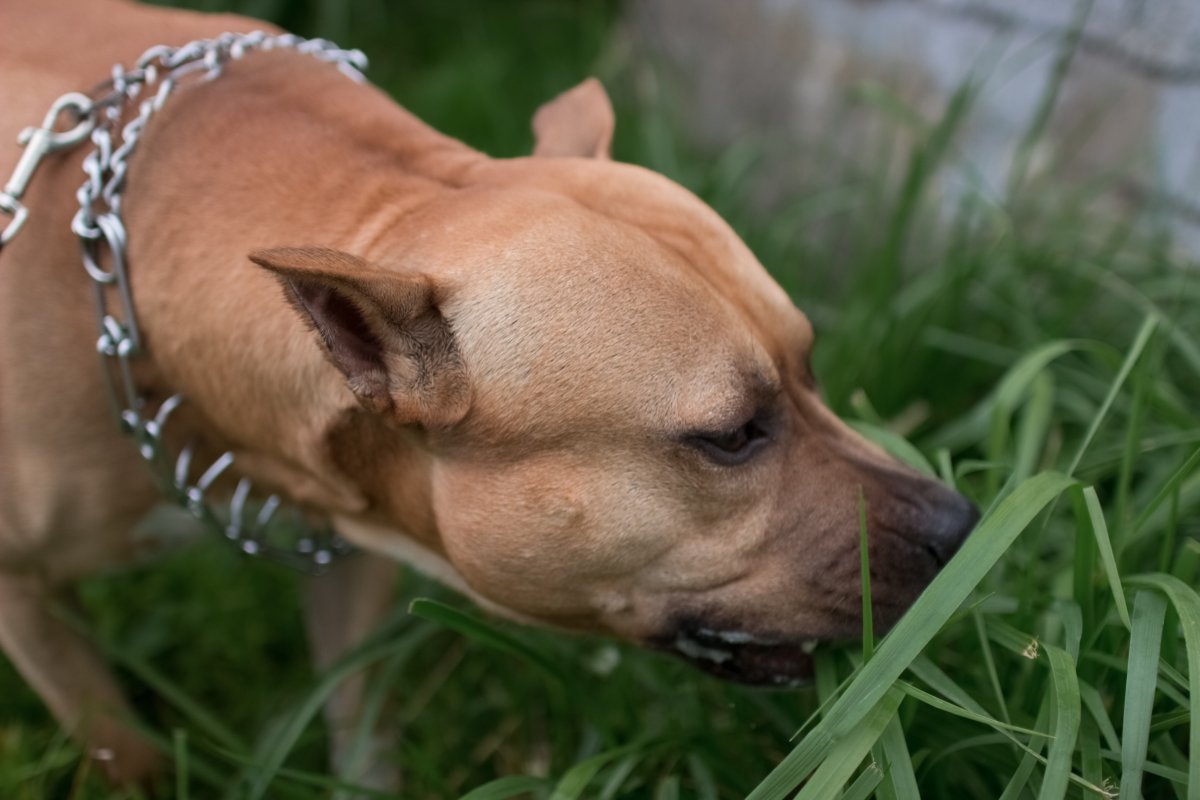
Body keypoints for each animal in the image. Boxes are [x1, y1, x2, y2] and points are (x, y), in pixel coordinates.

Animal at [0, 0, 974, 786]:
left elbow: (362, 723)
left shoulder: (352, 553)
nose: (960, 528)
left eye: (811, 365)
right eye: (731, 435)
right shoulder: (27, 602)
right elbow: (122, 750)